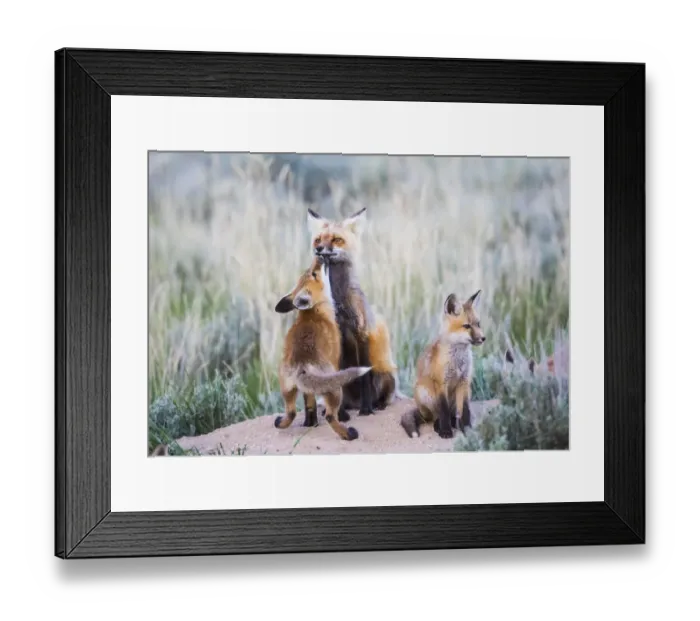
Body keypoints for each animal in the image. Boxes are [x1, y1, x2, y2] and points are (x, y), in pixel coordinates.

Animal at [274, 256, 371, 441]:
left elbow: (309, 404)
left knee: (291, 413)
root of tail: (301, 363)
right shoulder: (337, 359)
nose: (319, 256)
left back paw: (284, 422)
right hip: (333, 388)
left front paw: (310, 423)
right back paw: (348, 433)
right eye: (314, 273)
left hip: (287, 389)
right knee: (330, 416)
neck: (314, 312)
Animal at [306, 206, 398, 420]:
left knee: (387, 396)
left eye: (336, 239)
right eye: (317, 240)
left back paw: (377, 404)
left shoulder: (361, 333)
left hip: (384, 373)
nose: (319, 249)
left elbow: (364, 377)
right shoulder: (336, 338)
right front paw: (340, 416)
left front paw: (366, 410)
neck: (339, 303)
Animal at [401, 290, 486, 439]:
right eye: (467, 326)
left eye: (478, 324)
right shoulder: (441, 383)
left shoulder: (464, 381)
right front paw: (445, 431)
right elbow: (444, 410)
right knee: (436, 416)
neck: (457, 360)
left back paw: (455, 423)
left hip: (464, 392)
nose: (483, 338)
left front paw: (467, 429)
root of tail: (422, 411)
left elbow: (465, 410)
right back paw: (438, 426)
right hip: (425, 393)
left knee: (454, 414)